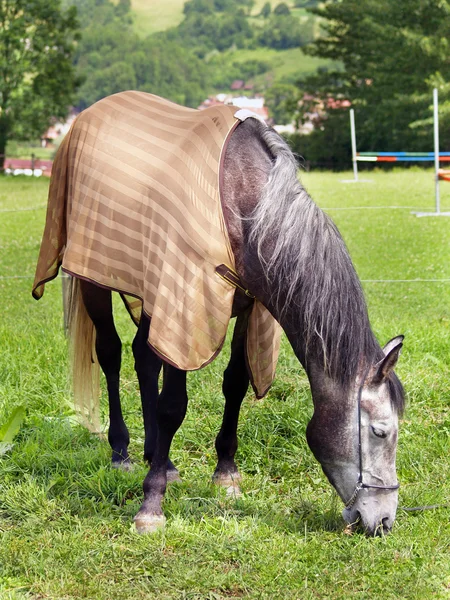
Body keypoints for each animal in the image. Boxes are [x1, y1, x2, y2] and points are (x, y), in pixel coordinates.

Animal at [32, 91, 404, 536]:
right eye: (381, 431)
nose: (384, 519)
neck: (247, 206)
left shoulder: (250, 309)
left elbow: (236, 383)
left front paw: (225, 473)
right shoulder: (185, 306)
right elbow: (174, 405)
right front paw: (151, 504)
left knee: (144, 358)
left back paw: (160, 456)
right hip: (95, 279)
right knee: (111, 354)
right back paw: (122, 453)